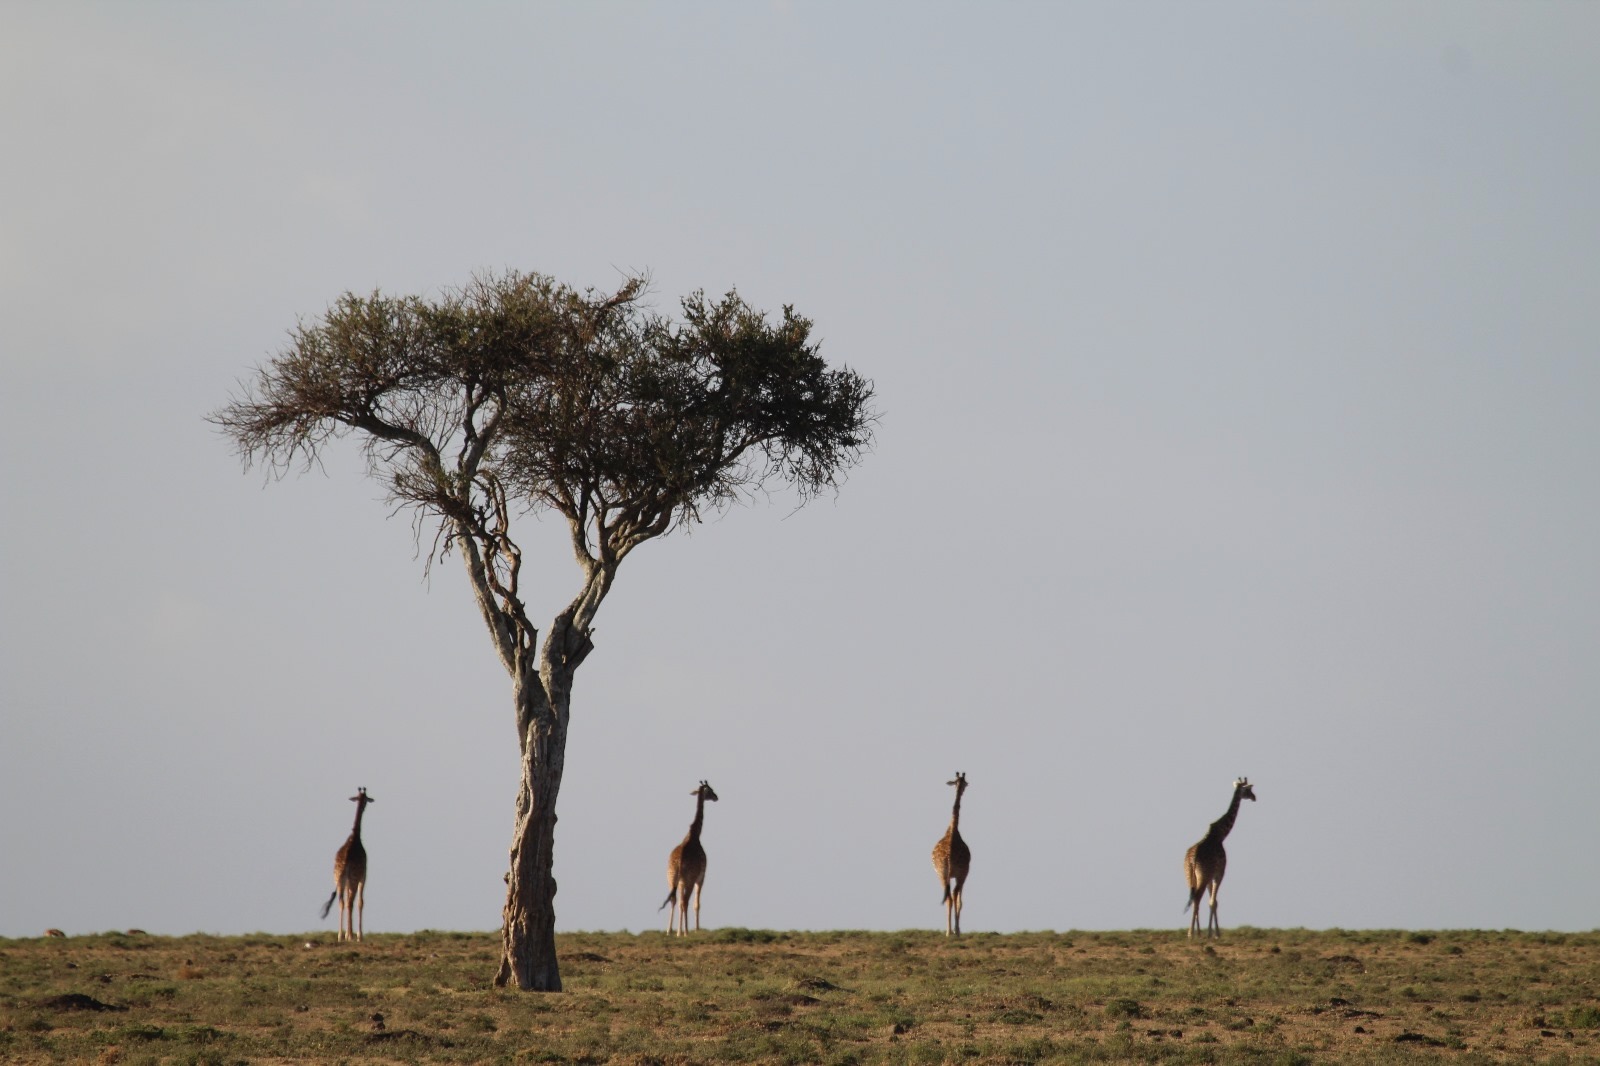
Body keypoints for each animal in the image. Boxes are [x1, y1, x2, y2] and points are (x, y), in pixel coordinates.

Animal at [323, 781, 376, 941]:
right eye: (365, 800)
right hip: (352, 879)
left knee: (342, 902)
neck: (355, 837)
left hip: (338, 880)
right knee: (351, 902)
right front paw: (358, 935)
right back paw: (352, 936)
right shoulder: (363, 876)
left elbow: (346, 902)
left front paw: (347, 933)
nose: (365, 805)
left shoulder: (345, 881)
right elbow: (360, 902)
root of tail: (345, 862)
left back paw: (341, 935)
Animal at [656, 777, 720, 934]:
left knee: (674, 900)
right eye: (710, 790)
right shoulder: (701, 877)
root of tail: (678, 863)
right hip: (688, 880)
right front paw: (696, 929)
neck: (694, 835)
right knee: (684, 901)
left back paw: (670, 931)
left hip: (671, 879)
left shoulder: (680, 882)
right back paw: (683, 932)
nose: (716, 797)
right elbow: (697, 904)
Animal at [1184, 777, 1254, 934]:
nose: (1255, 797)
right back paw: (1192, 933)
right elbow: (1213, 902)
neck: (1221, 834)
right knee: (1197, 898)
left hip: (1189, 876)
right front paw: (1215, 933)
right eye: (1248, 789)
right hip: (1203, 876)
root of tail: (1192, 859)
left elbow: (1212, 901)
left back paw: (1195, 932)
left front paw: (1210, 931)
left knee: (1193, 897)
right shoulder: (1219, 873)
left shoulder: (1211, 876)